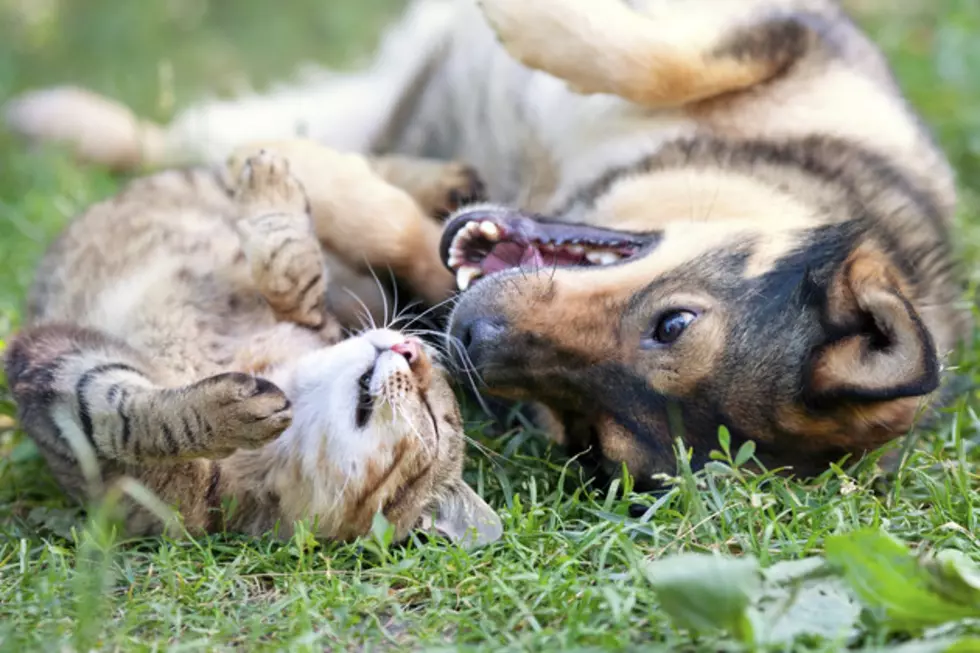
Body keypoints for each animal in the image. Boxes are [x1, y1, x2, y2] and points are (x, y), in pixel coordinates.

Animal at [5, 0, 972, 488]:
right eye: (673, 323)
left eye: (591, 434)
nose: (469, 340)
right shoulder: (793, 36)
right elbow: (662, 53)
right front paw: (526, 17)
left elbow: (402, 234)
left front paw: (319, 181)